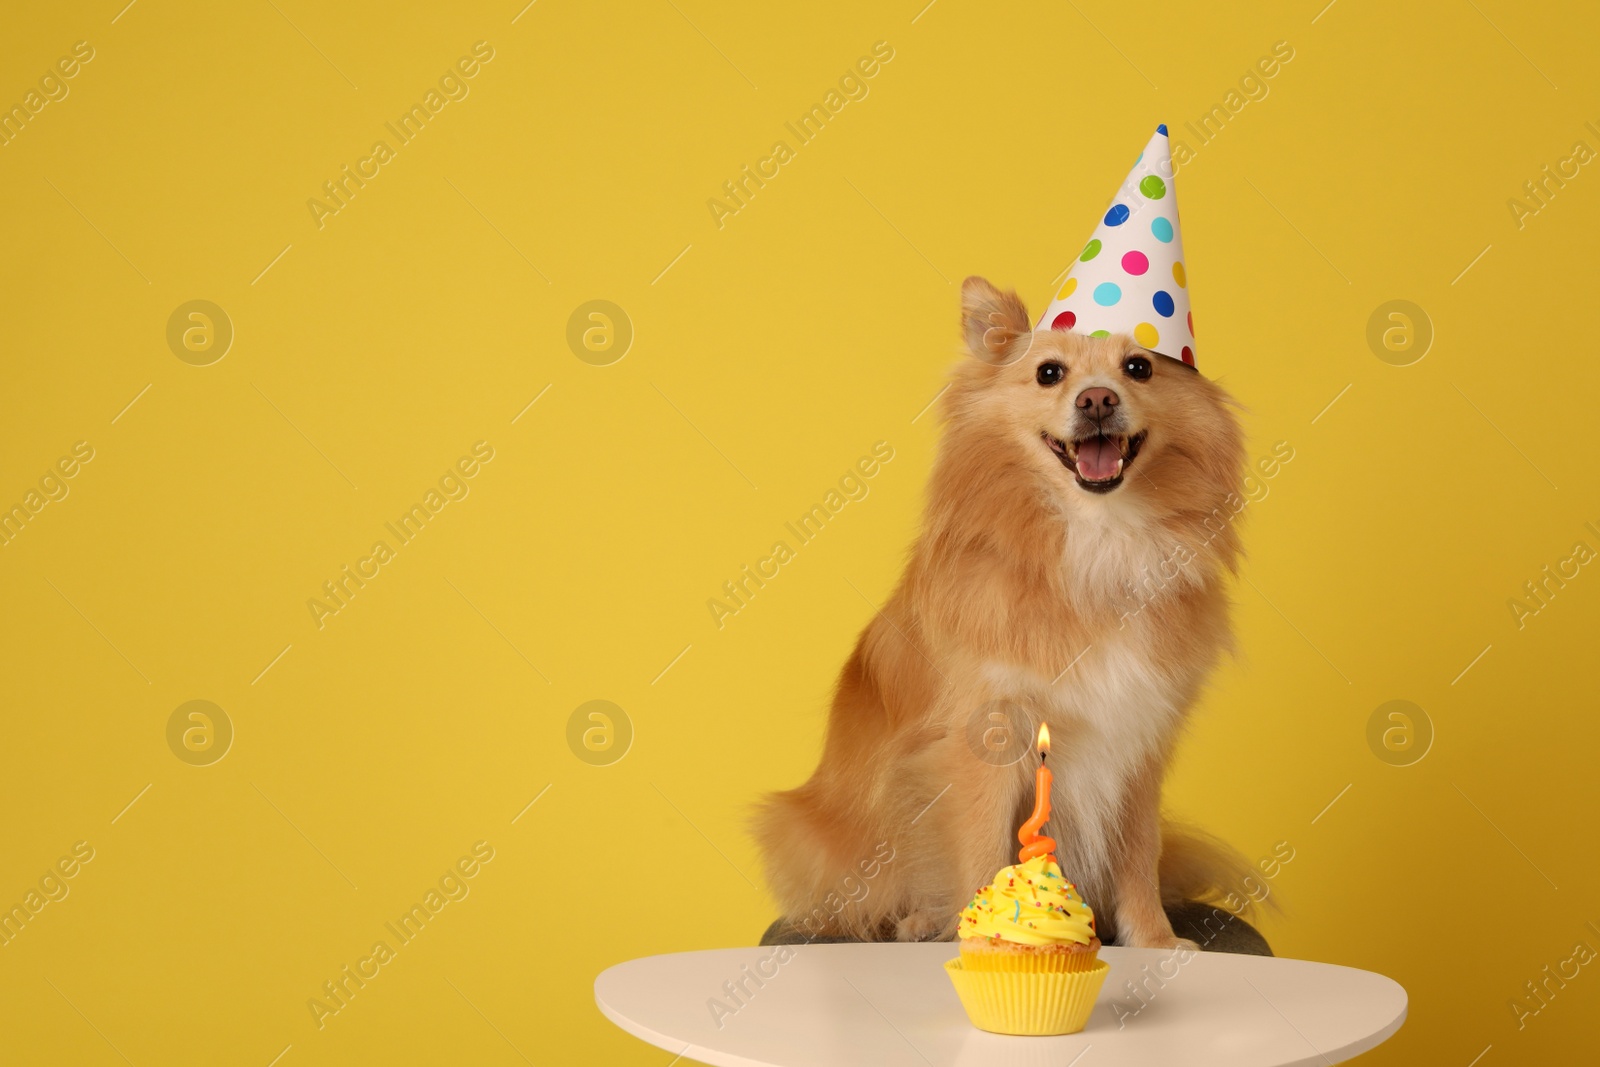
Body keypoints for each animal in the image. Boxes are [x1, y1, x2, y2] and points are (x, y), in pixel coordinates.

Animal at [758, 275, 1248, 953]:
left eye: (1139, 367)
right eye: (1049, 373)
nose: (1098, 399)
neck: (1099, 541)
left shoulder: (1137, 739)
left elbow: (1138, 854)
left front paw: (1153, 940)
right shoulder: (985, 744)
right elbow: (984, 849)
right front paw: (990, 944)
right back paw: (919, 919)